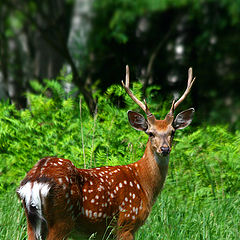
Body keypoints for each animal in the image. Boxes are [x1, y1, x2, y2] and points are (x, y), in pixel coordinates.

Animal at [17, 65, 196, 240]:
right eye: (150, 133)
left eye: (172, 132)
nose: (164, 149)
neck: (144, 184)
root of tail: (34, 181)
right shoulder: (127, 222)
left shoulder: (102, 233)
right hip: (62, 219)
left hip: (32, 221)